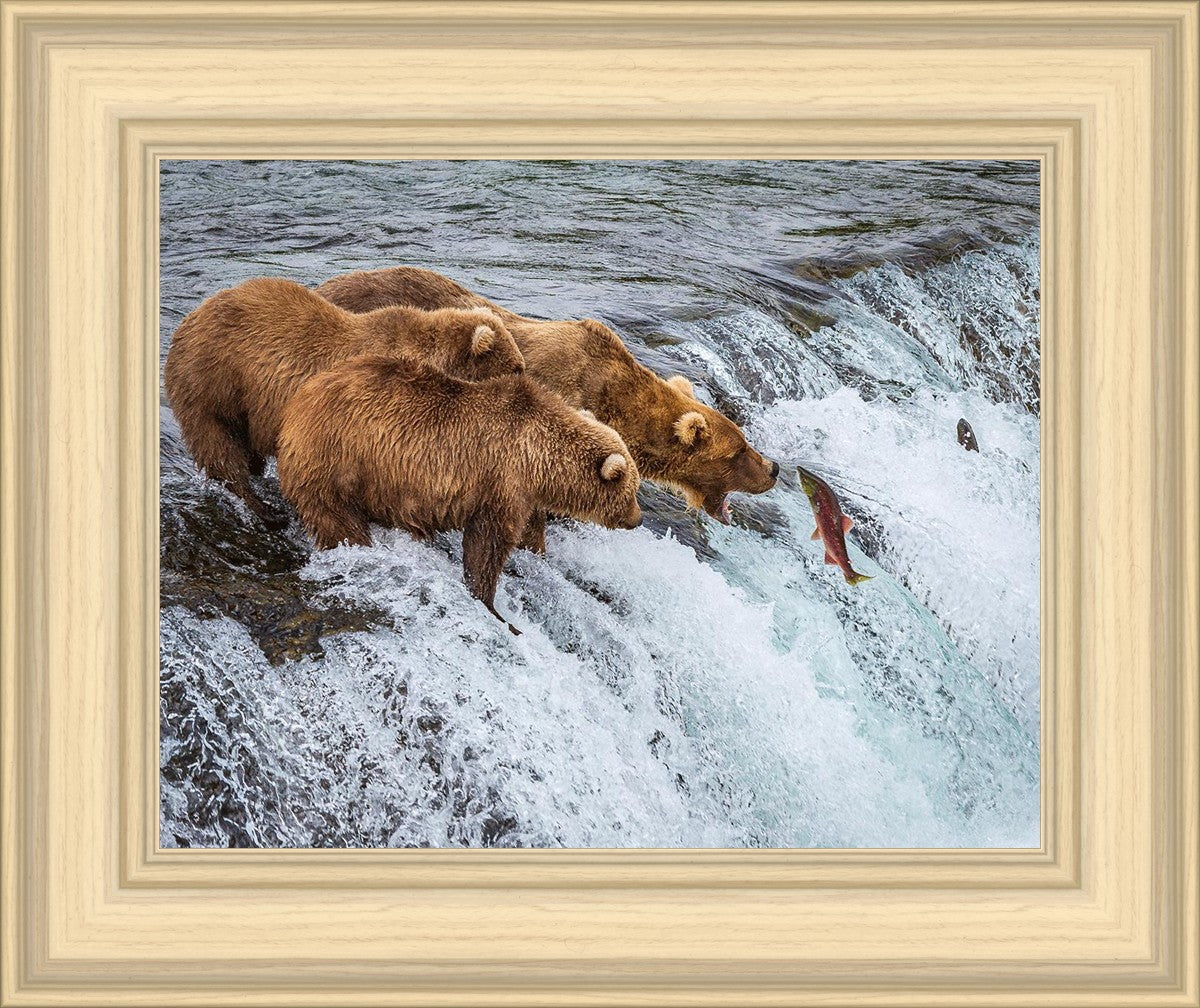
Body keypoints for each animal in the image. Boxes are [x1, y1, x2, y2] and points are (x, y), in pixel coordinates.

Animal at [163, 276, 525, 521]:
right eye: (517, 367)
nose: (527, 382)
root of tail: (187, 320)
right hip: (213, 382)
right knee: (219, 446)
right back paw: (260, 506)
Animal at [275, 353, 643, 632]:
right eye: (632, 490)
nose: (638, 519)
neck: (540, 458)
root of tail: (297, 404)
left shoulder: (524, 494)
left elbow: (528, 533)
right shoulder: (501, 481)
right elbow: (487, 545)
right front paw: (493, 607)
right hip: (337, 462)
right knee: (338, 521)